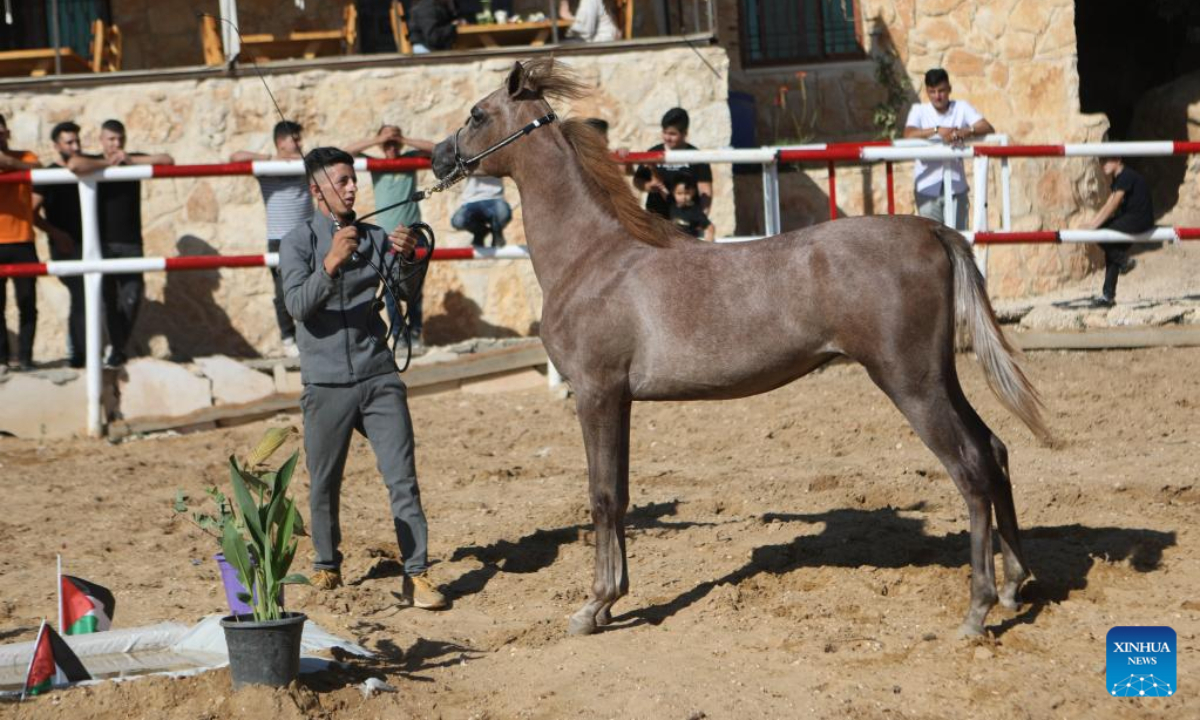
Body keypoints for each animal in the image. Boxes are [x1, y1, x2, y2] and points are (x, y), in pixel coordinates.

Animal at [430, 58, 1051, 638]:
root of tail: (933, 231)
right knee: (994, 451)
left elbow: (602, 496)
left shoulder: (596, 395)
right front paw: (610, 601)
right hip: (938, 377)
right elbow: (622, 495)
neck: (592, 258)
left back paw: (977, 609)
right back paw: (1015, 586)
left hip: (911, 384)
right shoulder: (619, 401)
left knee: (970, 469)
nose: (439, 157)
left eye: (478, 115)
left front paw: (594, 607)